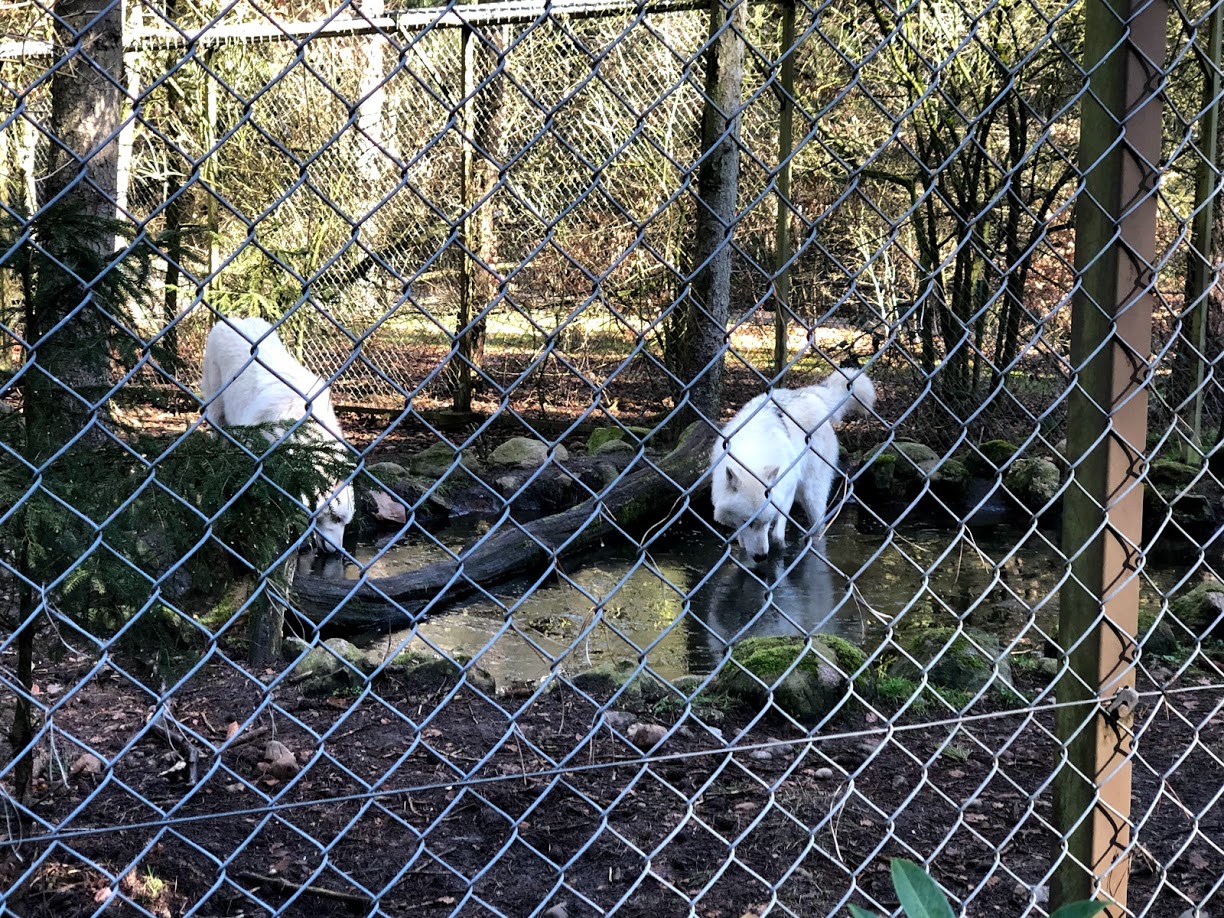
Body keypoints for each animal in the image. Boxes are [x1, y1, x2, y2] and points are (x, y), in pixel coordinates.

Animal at [710, 368, 875, 563]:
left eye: (766, 521)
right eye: (746, 522)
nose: (761, 557)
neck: (753, 451)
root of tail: (811, 394)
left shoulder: (787, 490)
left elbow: (777, 535)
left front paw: (780, 548)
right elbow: (742, 541)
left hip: (813, 496)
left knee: (819, 526)